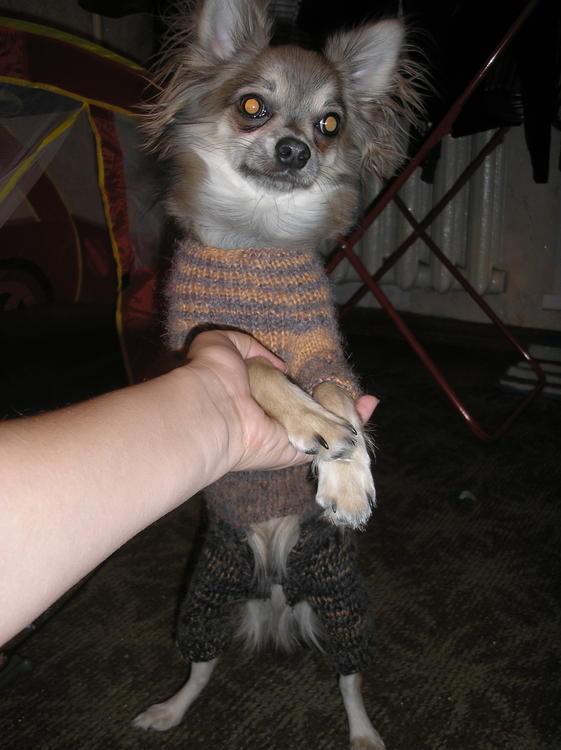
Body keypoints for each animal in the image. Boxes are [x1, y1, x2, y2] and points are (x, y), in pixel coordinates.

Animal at [132, 1, 420, 747]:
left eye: (330, 124)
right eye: (252, 107)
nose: (296, 150)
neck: (259, 237)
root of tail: (277, 582)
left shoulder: (323, 355)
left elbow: (335, 393)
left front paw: (346, 474)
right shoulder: (203, 347)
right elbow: (264, 378)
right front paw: (315, 431)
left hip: (342, 603)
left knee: (350, 680)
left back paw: (362, 733)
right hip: (207, 596)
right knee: (199, 666)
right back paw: (169, 710)